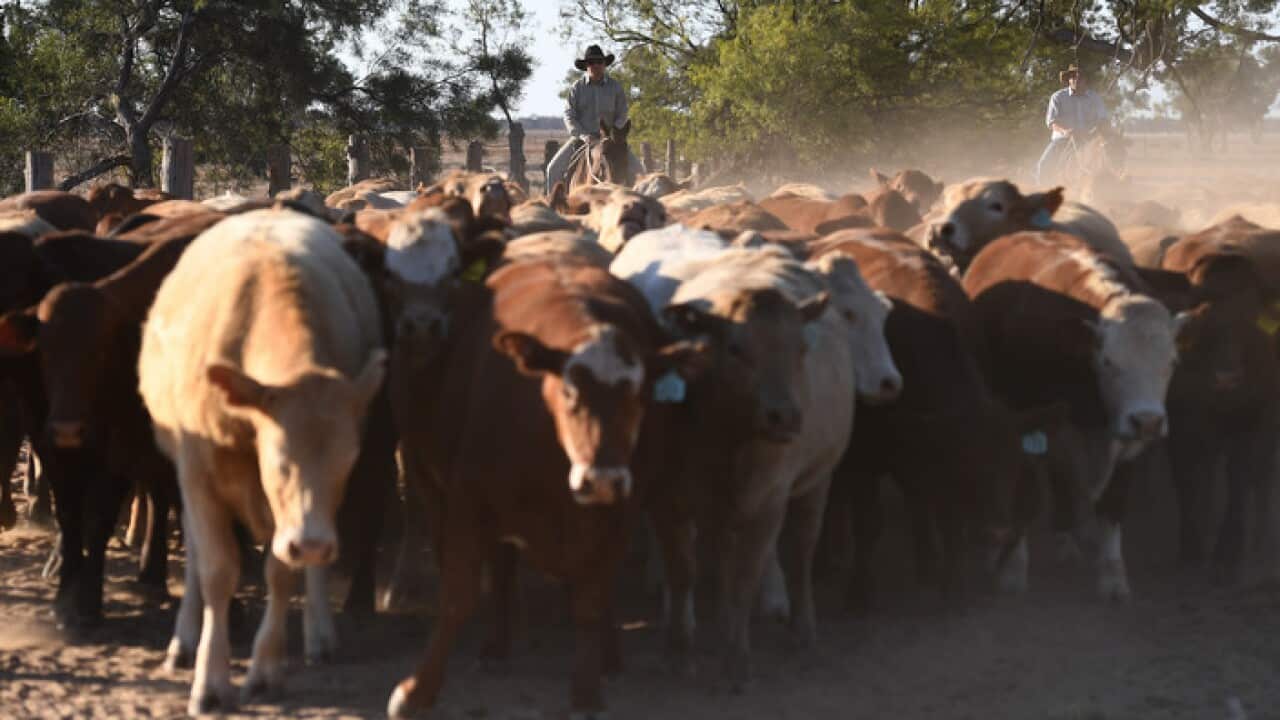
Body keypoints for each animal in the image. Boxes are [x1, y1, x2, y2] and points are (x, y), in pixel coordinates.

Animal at [138, 208, 386, 715]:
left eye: (348, 462)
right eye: (279, 460)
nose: (312, 543)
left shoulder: (293, 517)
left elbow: (280, 571)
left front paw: (266, 670)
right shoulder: (197, 472)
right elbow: (217, 570)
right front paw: (211, 681)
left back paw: (319, 631)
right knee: (195, 550)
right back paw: (184, 639)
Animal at [386, 255, 705, 719]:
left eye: (639, 397)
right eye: (570, 392)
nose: (602, 478)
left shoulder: (617, 516)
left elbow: (590, 601)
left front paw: (586, 693)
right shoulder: (469, 500)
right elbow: (458, 597)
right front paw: (415, 691)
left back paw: (624, 653)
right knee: (501, 569)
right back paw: (498, 647)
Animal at [963, 231, 1183, 600]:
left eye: (1171, 362)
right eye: (1108, 361)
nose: (1148, 421)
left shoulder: (1126, 444)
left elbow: (1111, 505)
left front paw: (1113, 578)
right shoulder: (1026, 424)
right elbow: (1025, 491)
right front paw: (1012, 571)